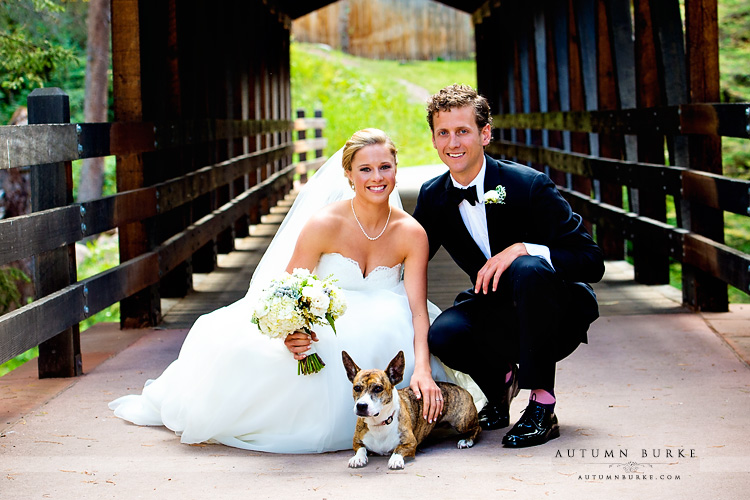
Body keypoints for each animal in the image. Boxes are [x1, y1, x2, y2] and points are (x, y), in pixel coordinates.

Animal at [346, 352, 484, 468]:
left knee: (478, 428)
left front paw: (395, 459)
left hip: (461, 423)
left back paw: (466, 440)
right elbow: (361, 449)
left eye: (378, 388)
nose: (361, 405)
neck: (379, 423)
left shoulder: (411, 443)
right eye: (357, 388)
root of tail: (464, 389)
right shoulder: (356, 442)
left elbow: (398, 449)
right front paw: (357, 458)